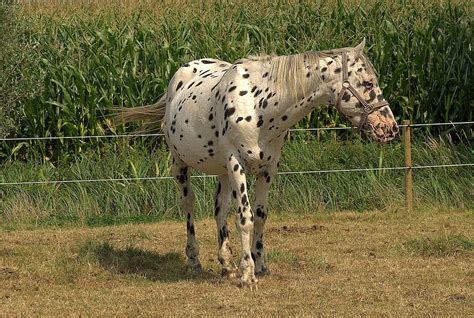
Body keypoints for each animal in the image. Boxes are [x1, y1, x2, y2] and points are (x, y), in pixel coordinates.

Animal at [115, 39, 400, 288]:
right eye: (367, 82)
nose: (390, 128)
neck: (258, 103)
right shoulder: (237, 164)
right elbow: (245, 218)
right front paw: (247, 275)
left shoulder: (269, 168)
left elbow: (261, 215)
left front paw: (259, 265)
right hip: (180, 164)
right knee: (189, 205)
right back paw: (194, 260)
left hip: (222, 172)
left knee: (219, 209)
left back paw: (227, 265)